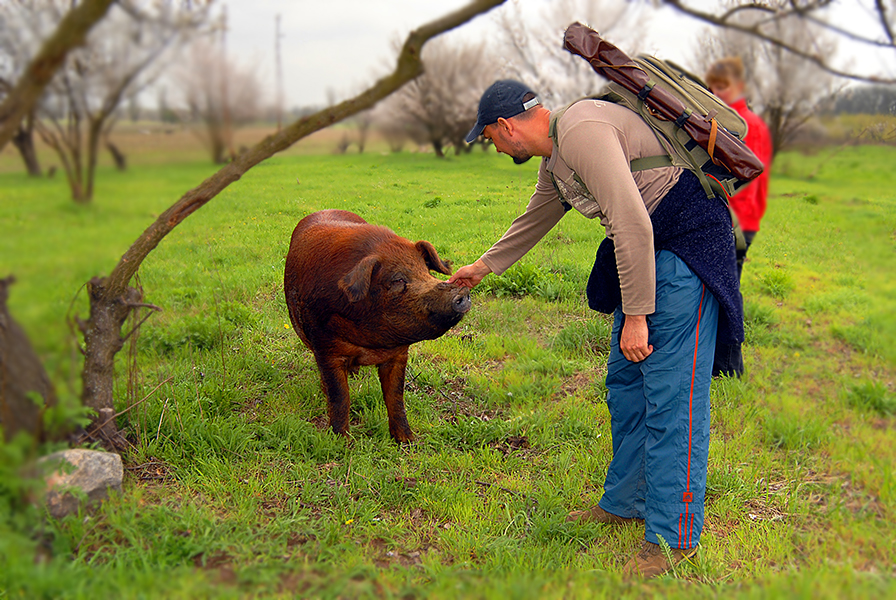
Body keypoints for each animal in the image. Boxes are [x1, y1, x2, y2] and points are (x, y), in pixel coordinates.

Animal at [286, 210, 468, 440]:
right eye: (397, 280)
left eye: (426, 271)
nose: (462, 291)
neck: (371, 344)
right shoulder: (325, 346)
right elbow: (340, 397)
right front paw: (341, 441)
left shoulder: (399, 354)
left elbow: (395, 397)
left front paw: (407, 441)